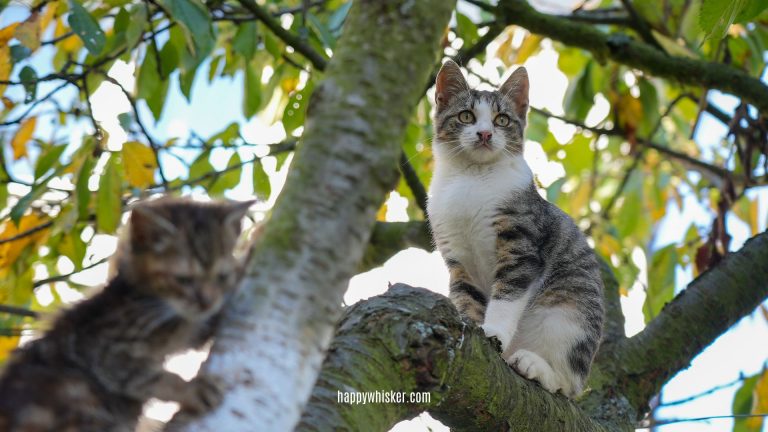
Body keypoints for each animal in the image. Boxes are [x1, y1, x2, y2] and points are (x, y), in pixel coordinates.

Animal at [0, 197, 254, 430]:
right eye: (183, 279)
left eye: (221, 276)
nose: (207, 302)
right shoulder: (106, 351)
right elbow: (151, 377)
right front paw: (191, 389)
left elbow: (200, 327)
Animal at [428, 60, 604, 398]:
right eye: (466, 116)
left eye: (502, 119)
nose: (485, 133)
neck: (473, 176)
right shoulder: (457, 258)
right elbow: (466, 297)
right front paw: (470, 326)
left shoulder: (522, 244)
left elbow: (507, 296)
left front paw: (493, 330)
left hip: (570, 312)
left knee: (568, 383)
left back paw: (536, 366)